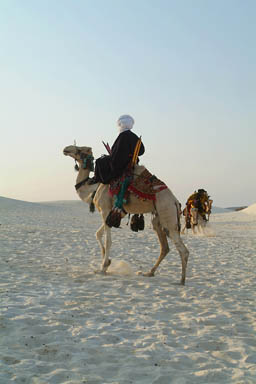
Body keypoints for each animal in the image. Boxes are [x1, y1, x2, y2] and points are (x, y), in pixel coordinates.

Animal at [63, 144, 189, 284]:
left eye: (79, 149)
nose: (66, 149)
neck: (93, 189)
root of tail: (175, 201)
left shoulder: (105, 209)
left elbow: (108, 240)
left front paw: (103, 268)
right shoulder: (115, 213)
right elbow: (98, 234)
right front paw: (106, 261)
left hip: (167, 214)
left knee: (183, 250)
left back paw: (181, 281)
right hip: (158, 218)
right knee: (165, 247)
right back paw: (149, 273)